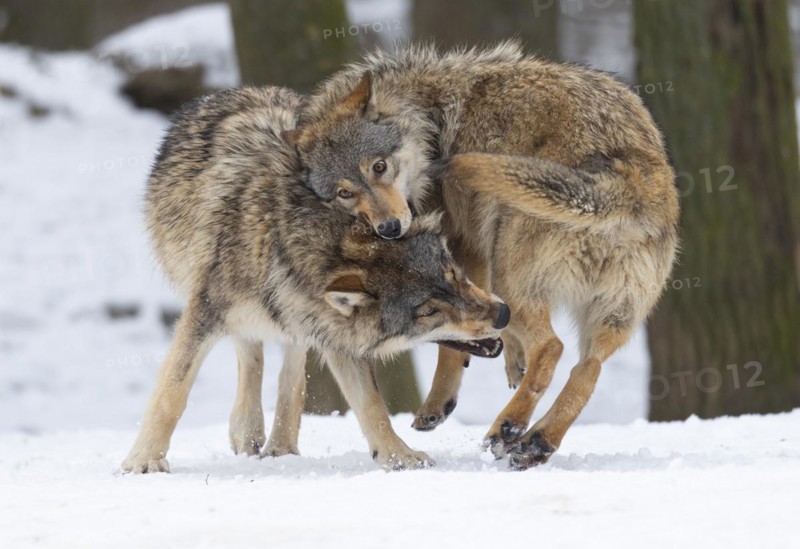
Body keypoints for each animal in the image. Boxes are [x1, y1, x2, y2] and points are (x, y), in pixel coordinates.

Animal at [121, 86, 509, 473]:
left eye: (454, 274)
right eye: (429, 311)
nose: (503, 314)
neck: (289, 244)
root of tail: (242, 90)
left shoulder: (334, 331)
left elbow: (370, 404)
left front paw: (399, 457)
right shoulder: (205, 312)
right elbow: (173, 393)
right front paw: (143, 461)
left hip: (299, 319)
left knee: (289, 374)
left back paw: (280, 445)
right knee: (251, 354)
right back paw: (248, 431)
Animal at [285, 42, 680, 469]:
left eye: (379, 166)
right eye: (345, 192)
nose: (389, 228)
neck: (427, 119)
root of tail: (630, 176)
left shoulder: (463, 249)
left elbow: (451, 342)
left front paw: (438, 404)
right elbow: (488, 333)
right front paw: (510, 363)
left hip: (514, 276)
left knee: (553, 349)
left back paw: (507, 427)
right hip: (608, 318)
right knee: (586, 371)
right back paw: (535, 442)